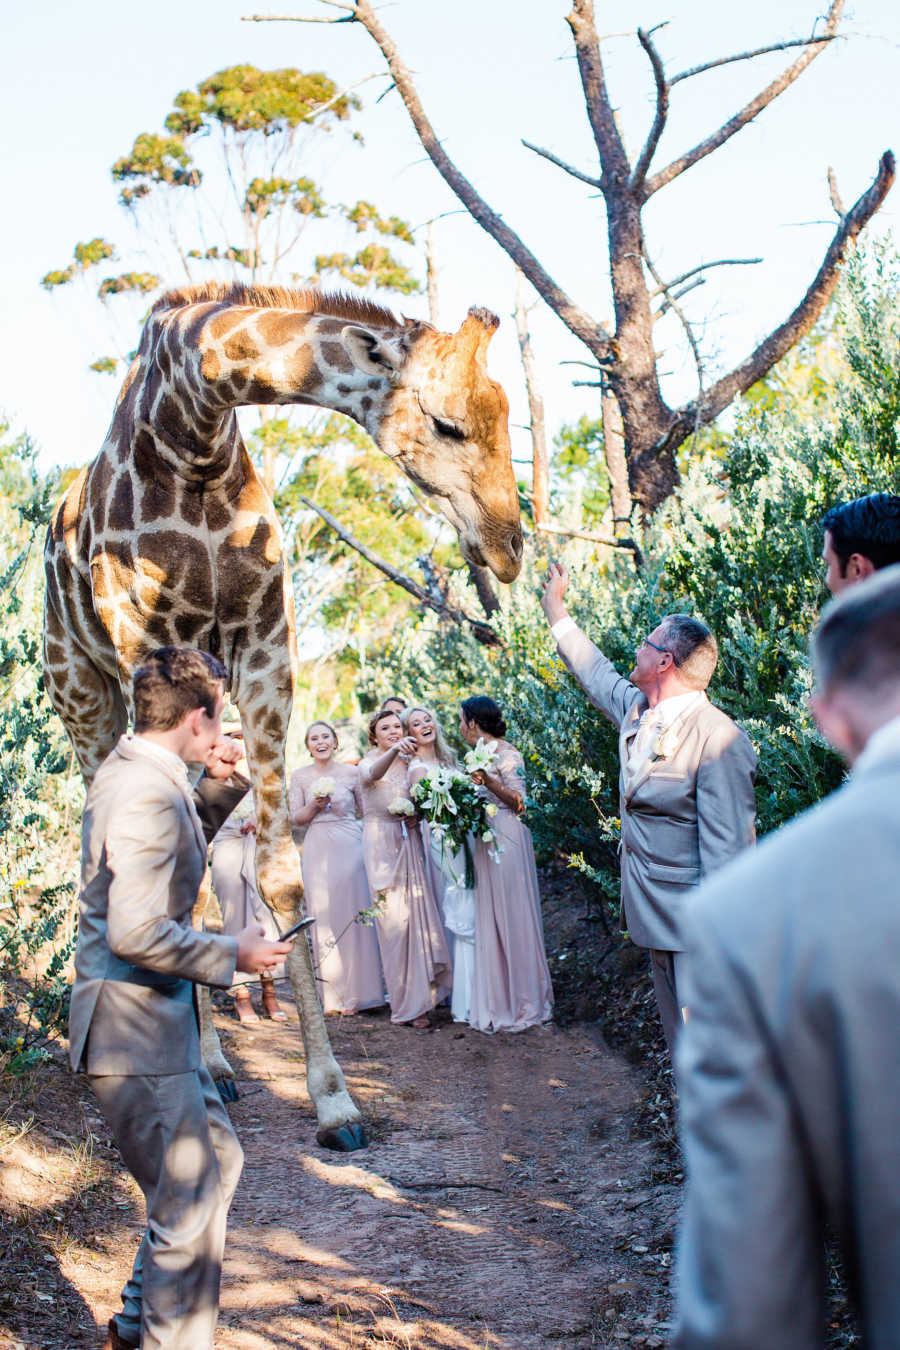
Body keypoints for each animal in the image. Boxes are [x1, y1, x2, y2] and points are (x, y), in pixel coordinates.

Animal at [43, 282, 520, 1150]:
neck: (192, 422)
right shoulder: (146, 649)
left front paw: (335, 1101)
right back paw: (188, 1059)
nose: (509, 547)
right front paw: (214, 1073)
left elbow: (277, 872)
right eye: (447, 423)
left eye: (501, 410)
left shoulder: (265, 647)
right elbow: (181, 867)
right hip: (81, 692)